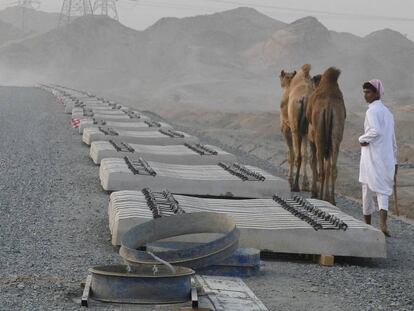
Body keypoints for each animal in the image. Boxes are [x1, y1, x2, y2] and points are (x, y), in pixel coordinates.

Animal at [308, 67, 346, 205]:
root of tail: (329, 106)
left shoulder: (311, 140)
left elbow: (313, 161)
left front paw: (314, 192)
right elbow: (328, 165)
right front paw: (327, 196)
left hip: (319, 135)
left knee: (322, 168)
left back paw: (319, 196)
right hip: (336, 131)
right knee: (332, 168)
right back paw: (332, 199)